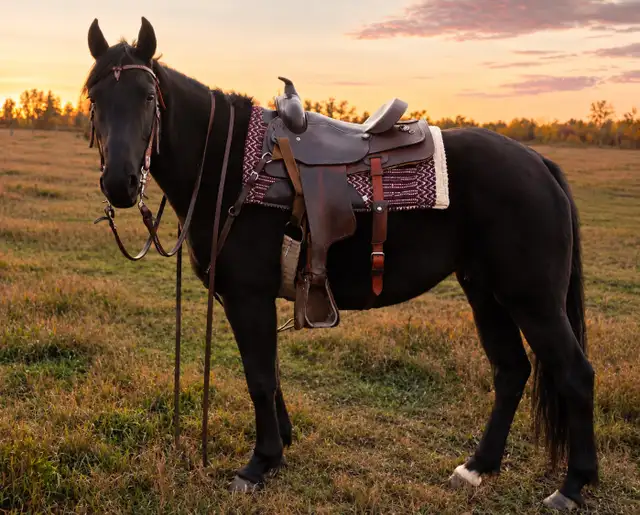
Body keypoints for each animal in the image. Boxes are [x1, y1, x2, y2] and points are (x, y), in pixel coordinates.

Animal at [84, 17, 598, 511]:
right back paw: (477, 467)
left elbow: (259, 376)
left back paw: (572, 486)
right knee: (511, 371)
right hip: (486, 292)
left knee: (575, 374)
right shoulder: (243, 298)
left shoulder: (248, 296)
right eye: (94, 96)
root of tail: (539, 163)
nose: (120, 183)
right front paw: (281, 445)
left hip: (533, 300)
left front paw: (260, 463)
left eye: (148, 96)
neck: (228, 168)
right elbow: (269, 373)